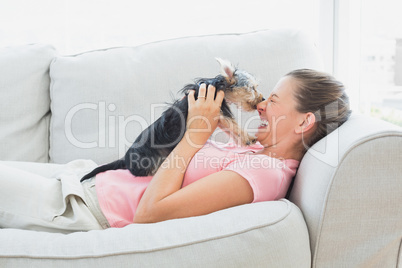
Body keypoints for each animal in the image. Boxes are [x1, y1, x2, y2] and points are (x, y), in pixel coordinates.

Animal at [80, 57, 266, 181]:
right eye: (252, 88)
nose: (262, 98)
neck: (216, 85)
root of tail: (125, 159)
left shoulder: (218, 116)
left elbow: (231, 129)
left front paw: (243, 141)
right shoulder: (220, 112)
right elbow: (234, 125)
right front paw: (249, 138)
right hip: (149, 162)